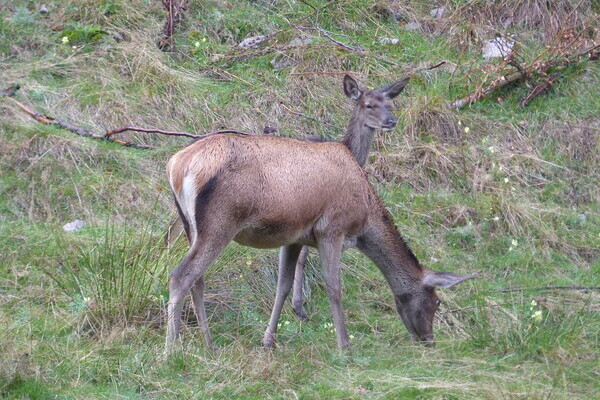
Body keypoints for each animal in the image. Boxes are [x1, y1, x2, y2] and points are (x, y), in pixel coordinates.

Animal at [165, 122, 474, 354]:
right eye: (436, 302)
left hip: (190, 226)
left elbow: (283, 286)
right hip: (220, 223)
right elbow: (334, 288)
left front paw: (268, 341)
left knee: (197, 279)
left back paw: (209, 345)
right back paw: (171, 351)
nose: (429, 340)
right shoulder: (332, 229)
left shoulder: (293, 237)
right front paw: (345, 346)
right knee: (181, 275)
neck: (365, 217)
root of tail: (177, 165)